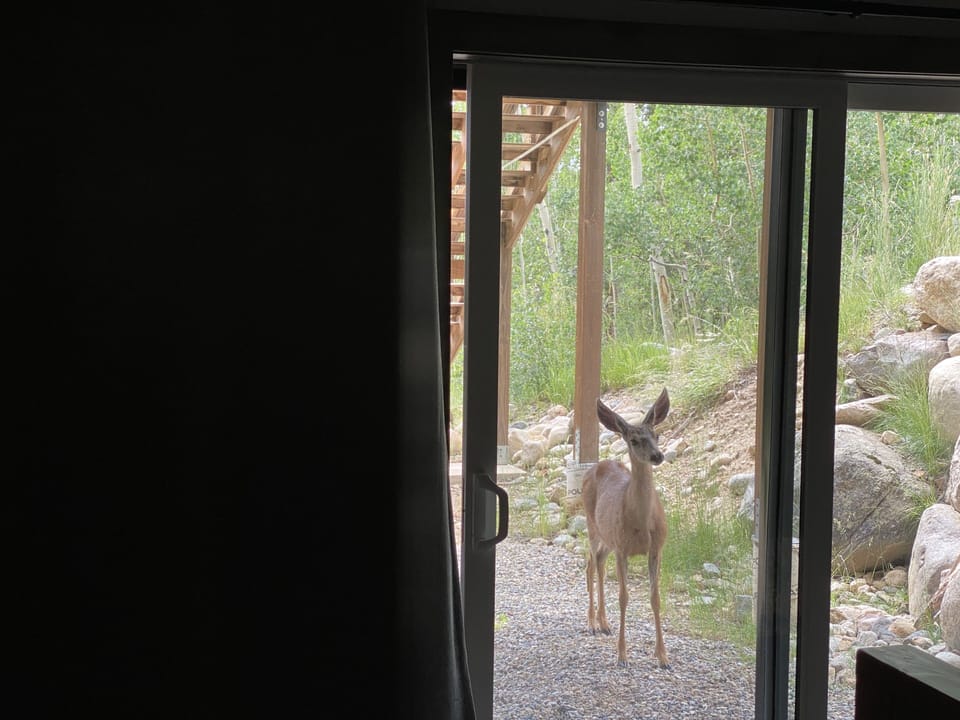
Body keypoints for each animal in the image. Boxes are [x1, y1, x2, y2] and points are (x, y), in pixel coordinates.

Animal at [583, 387, 671, 669]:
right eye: (633, 440)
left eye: (656, 435)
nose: (657, 456)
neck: (642, 524)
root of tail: (598, 464)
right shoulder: (623, 549)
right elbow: (623, 597)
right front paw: (622, 655)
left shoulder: (656, 549)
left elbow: (655, 598)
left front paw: (663, 656)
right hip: (592, 525)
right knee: (590, 565)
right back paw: (592, 623)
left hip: (608, 537)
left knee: (598, 562)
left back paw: (604, 623)